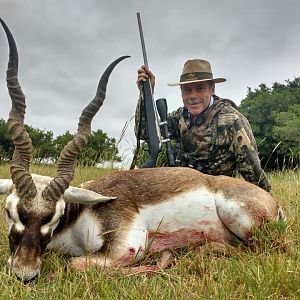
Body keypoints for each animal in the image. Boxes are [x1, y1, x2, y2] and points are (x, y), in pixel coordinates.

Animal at [0, 19, 284, 284]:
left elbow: (74, 264)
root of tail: (274, 203)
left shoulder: (128, 246)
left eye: (55, 215)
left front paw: (163, 258)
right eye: (8, 210)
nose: (25, 274)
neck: (78, 214)